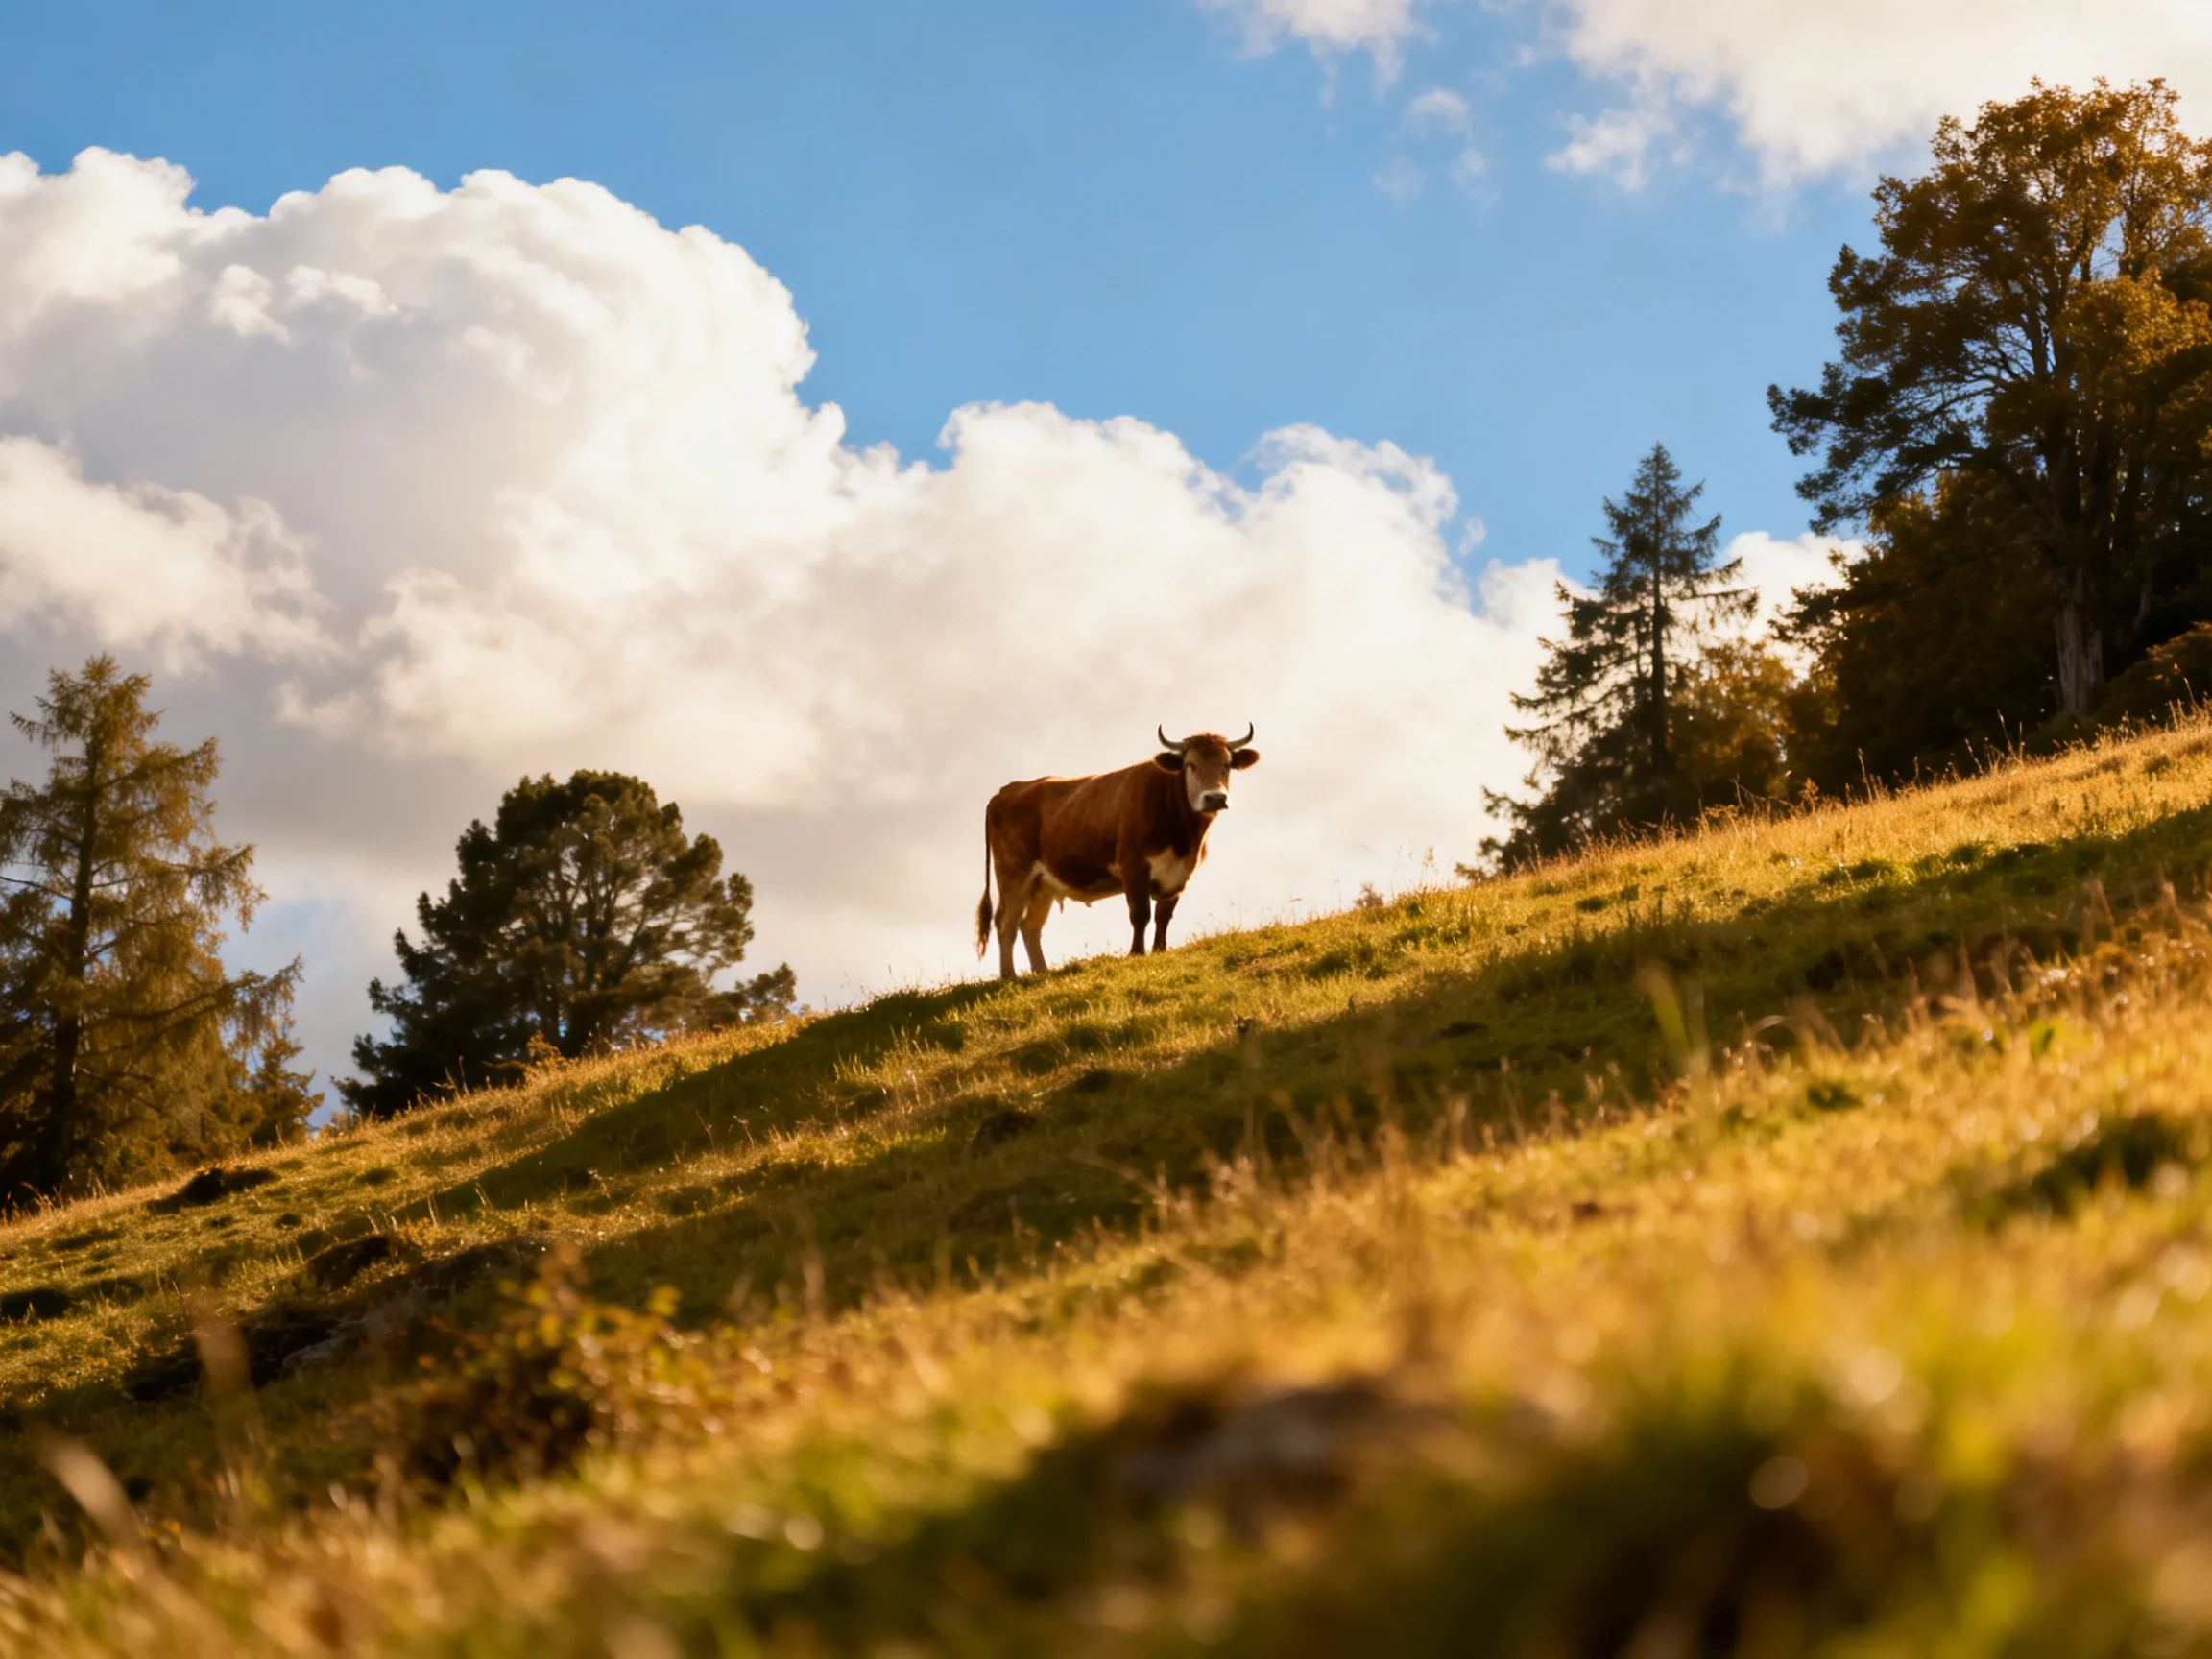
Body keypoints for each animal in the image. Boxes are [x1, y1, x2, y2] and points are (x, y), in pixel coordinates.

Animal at [975, 725, 1260, 981]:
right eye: (1190, 765)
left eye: (1227, 764)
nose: (1215, 798)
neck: (1183, 837)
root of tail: (1006, 790)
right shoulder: (1133, 867)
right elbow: (1141, 914)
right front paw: (1136, 953)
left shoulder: (1179, 874)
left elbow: (1164, 916)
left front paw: (1159, 951)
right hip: (1014, 872)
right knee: (1006, 922)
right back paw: (1009, 976)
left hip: (1042, 883)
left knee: (1030, 926)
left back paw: (1041, 973)